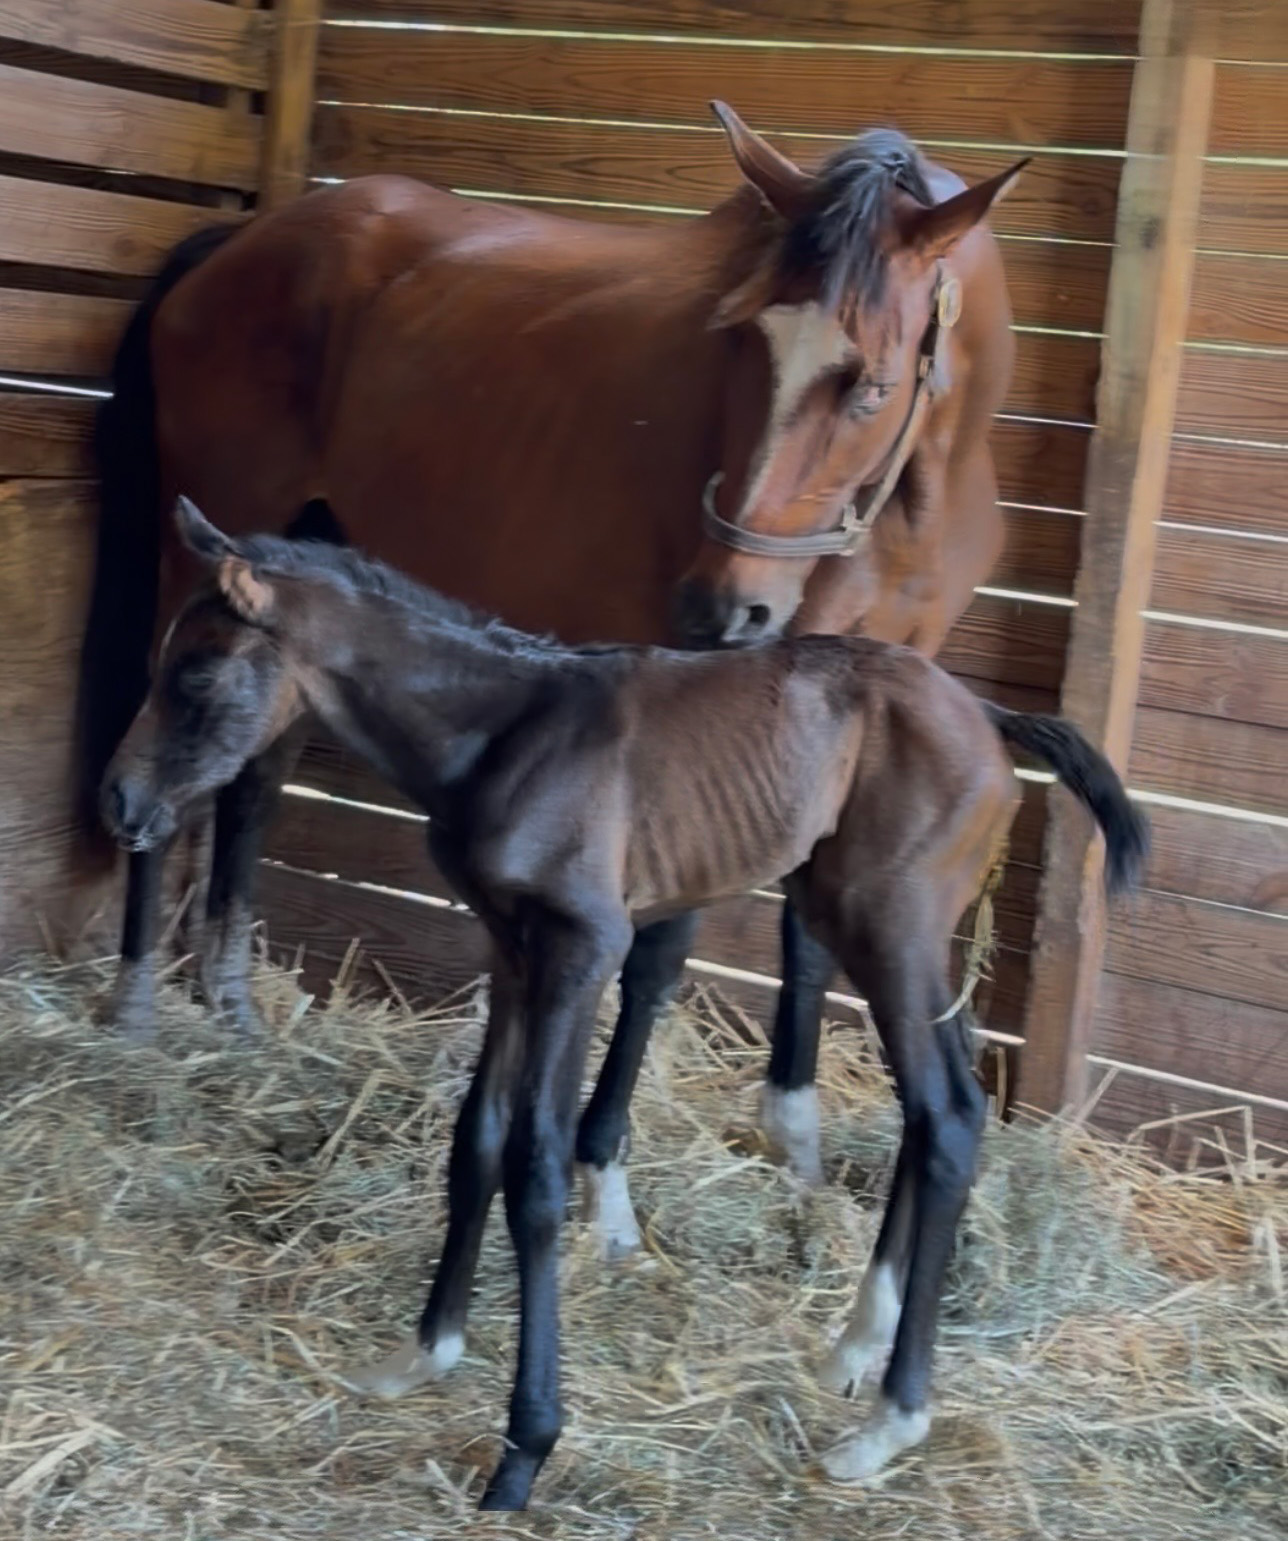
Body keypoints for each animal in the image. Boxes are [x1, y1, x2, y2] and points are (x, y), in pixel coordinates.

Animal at [81, 102, 1026, 1232]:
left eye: (871, 384)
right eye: (740, 340)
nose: (722, 602)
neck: (907, 504)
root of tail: (244, 240)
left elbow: (808, 922)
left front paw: (790, 1128)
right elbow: (662, 948)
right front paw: (601, 1171)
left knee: (255, 778)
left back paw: (228, 1001)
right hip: (210, 547)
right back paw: (138, 998)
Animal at [100, 499, 1147, 1511]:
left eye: (196, 672)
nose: (118, 802)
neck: (501, 732)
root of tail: (990, 714)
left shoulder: (583, 945)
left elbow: (537, 1166)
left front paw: (526, 1449)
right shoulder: (513, 947)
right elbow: (477, 1137)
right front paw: (422, 1353)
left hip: (890, 925)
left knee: (953, 1115)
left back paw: (890, 1419)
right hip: (891, 933)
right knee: (933, 1115)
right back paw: (853, 1347)